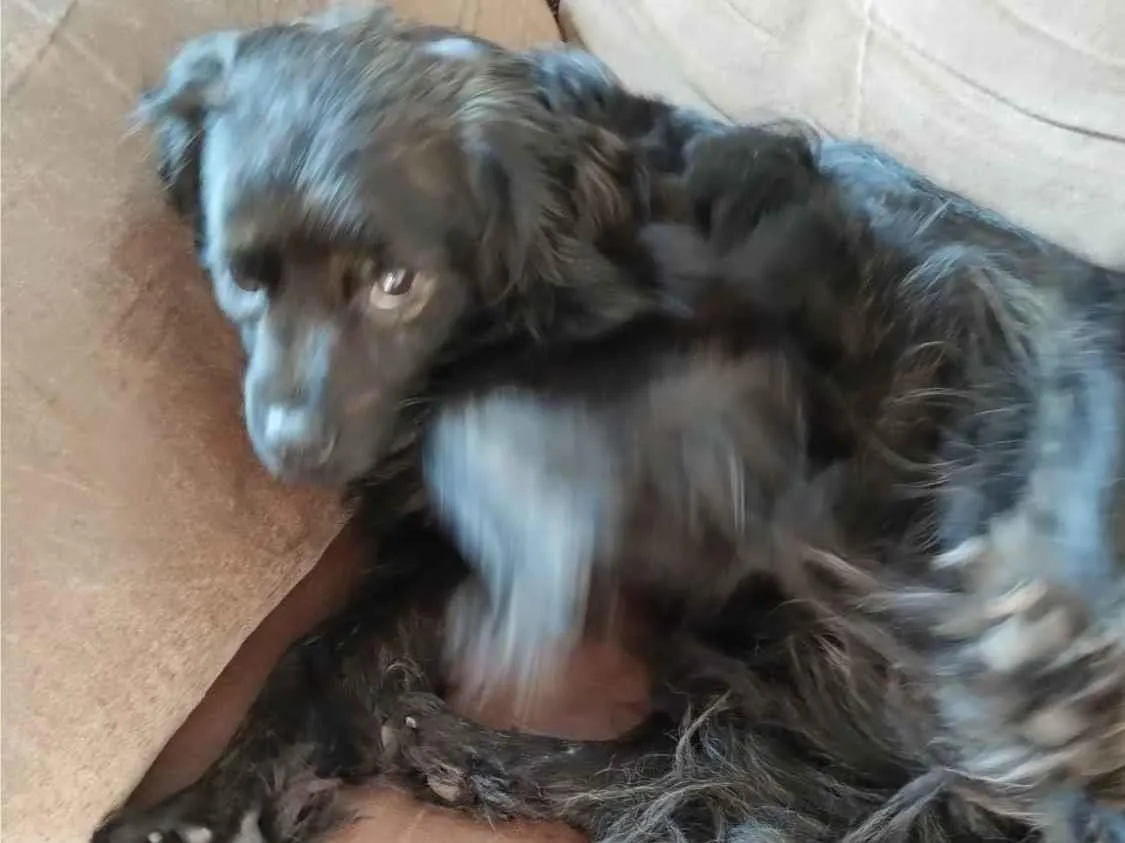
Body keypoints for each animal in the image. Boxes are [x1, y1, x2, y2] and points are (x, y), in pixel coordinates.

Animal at [95, 7, 1125, 843]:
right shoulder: (425, 548)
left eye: (396, 283)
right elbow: (317, 647)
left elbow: (485, 436)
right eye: (243, 278)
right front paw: (204, 804)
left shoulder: (747, 381)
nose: (292, 447)